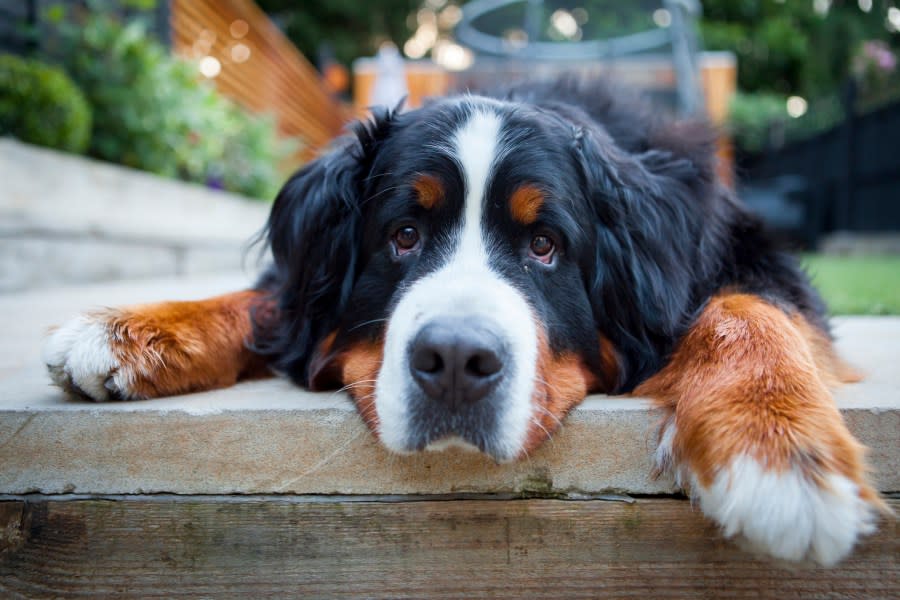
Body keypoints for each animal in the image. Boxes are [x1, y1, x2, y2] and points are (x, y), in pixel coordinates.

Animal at [42, 77, 884, 564]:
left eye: (545, 246)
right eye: (403, 235)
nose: (453, 360)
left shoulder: (747, 259)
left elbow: (746, 308)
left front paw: (777, 453)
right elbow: (268, 301)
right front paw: (130, 331)